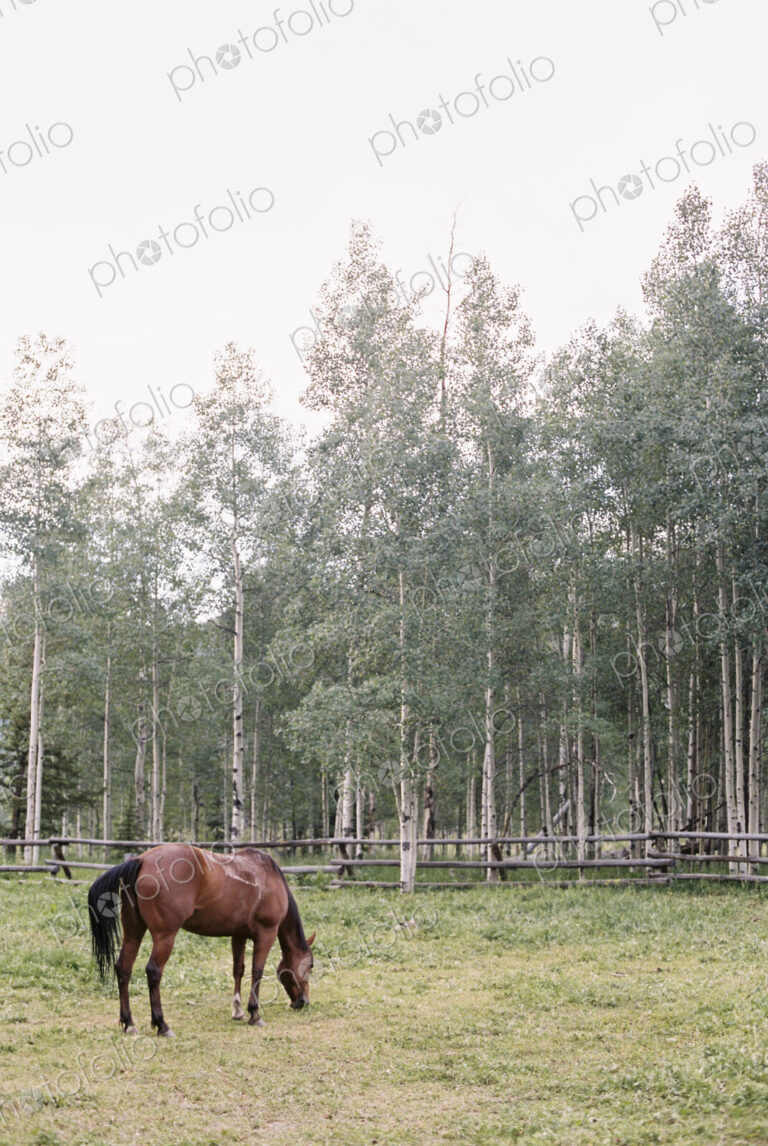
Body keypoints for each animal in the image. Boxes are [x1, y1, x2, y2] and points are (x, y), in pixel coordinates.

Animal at [87, 843, 315, 1037]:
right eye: (311, 965)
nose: (303, 1002)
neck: (268, 877)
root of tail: (141, 860)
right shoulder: (266, 934)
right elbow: (257, 971)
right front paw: (254, 1014)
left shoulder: (238, 935)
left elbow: (238, 970)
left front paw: (238, 1010)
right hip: (165, 936)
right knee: (153, 972)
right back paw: (162, 1025)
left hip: (133, 932)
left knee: (124, 968)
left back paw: (129, 1023)